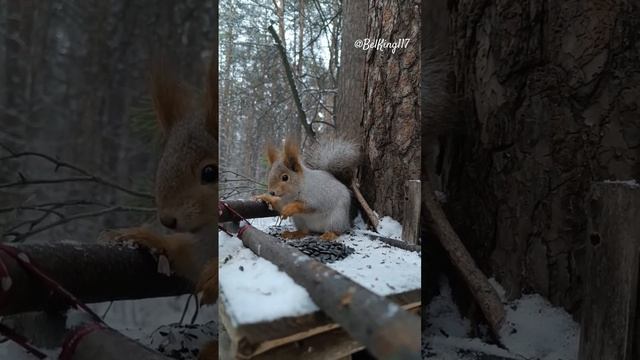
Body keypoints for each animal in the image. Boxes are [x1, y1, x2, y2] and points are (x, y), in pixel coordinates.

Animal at [109, 59, 219, 360]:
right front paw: (148, 238)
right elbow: (190, 257)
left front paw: (214, 276)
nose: (167, 220)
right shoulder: (202, 241)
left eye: (210, 173)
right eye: (163, 164)